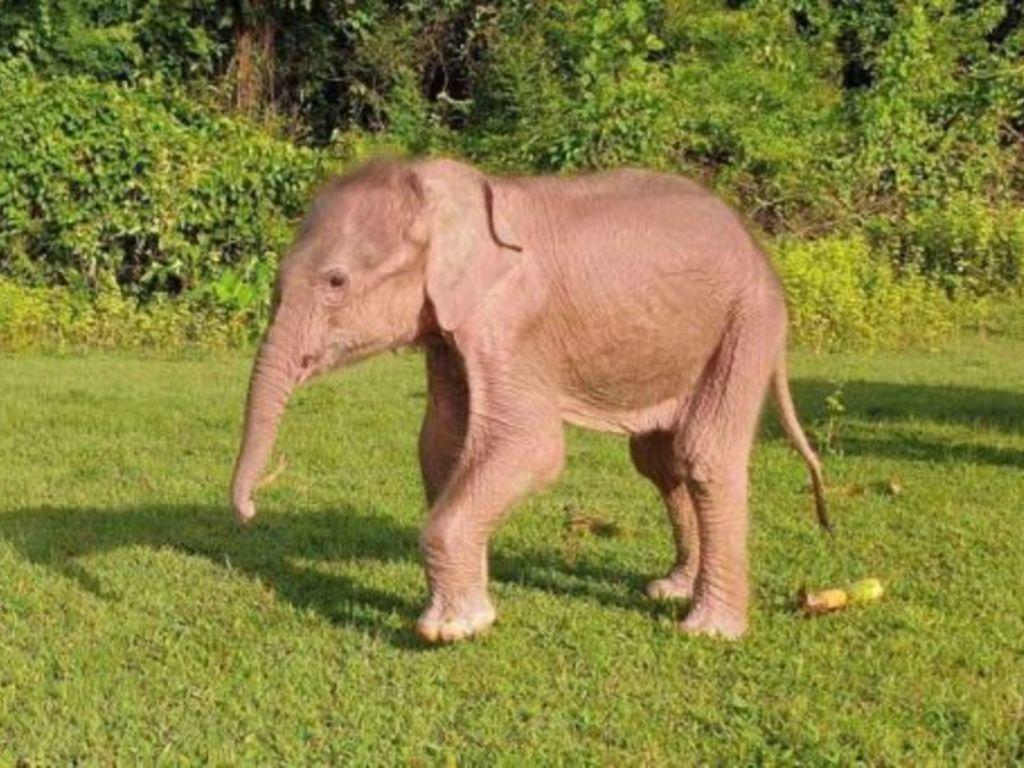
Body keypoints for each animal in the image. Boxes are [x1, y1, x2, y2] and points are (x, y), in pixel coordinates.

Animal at [231, 157, 829, 643]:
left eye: (336, 281)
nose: (250, 510)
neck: (448, 190)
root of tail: (760, 250)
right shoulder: (451, 328)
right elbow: (442, 442)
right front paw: (469, 605)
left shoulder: (513, 319)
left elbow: (528, 446)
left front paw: (451, 629)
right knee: (660, 460)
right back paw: (671, 589)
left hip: (747, 322)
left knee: (704, 454)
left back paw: (709, 630)